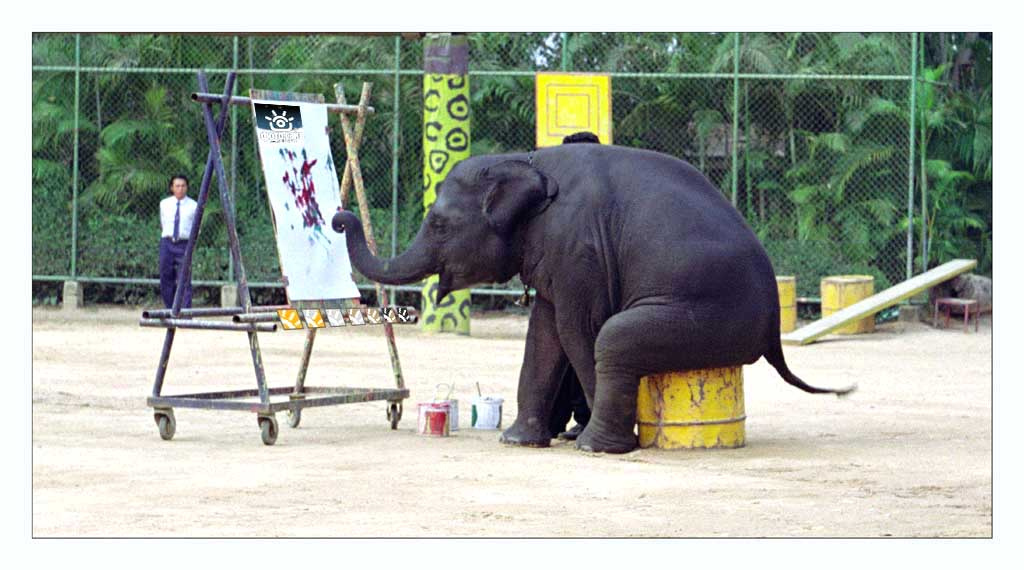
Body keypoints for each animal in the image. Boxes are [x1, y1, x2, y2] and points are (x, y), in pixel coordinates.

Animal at [331, 143, 855, 453]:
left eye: (439, 224)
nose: (338, 217)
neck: (527, 161)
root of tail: (774, 332)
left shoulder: (576, 246)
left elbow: (576, 328)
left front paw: (581, 439)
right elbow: (543, 334)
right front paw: (518, 441)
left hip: (718, 315)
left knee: (615, 338)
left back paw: (597, 446)